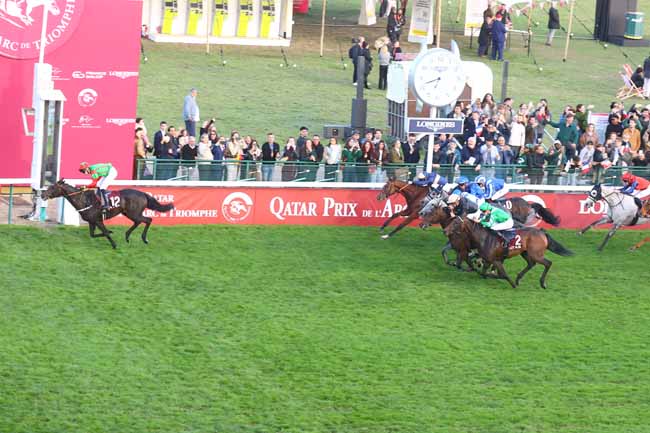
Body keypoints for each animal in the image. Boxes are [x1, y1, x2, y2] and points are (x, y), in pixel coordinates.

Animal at [41, 180, 174, 249]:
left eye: (52, 187)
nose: (42, 195)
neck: (84, 200)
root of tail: (143, 194)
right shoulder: (92, 221)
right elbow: (93, 235)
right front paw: (111, 232)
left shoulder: (98, 220)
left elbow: (104, 232)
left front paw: (114, 244)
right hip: (128, 213)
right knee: (139, 222)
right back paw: (127, 236)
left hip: (133, 213)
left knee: (148, 220)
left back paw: (144, 239)